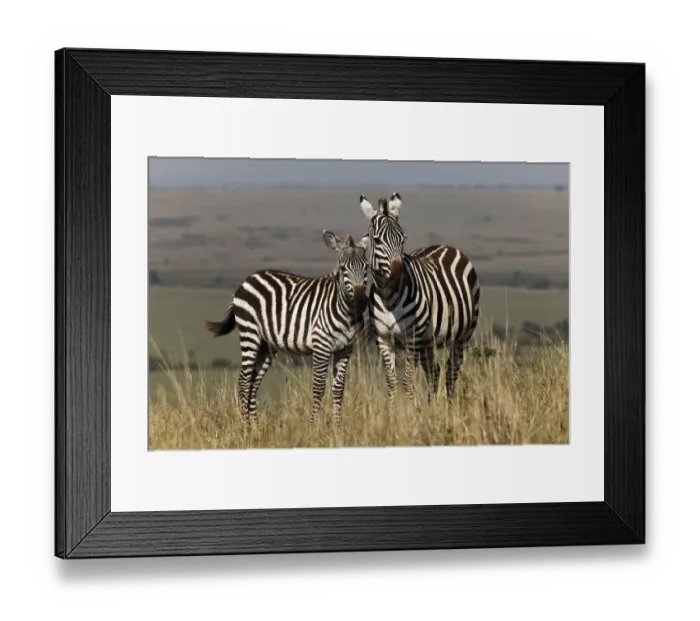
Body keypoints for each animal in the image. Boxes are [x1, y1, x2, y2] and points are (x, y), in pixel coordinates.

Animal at [204, 231, 369, 425]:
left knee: (254, 382)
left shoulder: (345, 348)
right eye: (343, 269)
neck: (345, 311)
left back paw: (255, 426)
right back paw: (245, 426)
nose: (360, 301)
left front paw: (337, 427)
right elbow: (319, 388)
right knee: (244, 380)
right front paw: (314, 426)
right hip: (249, 333)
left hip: (266, 345)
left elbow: (339, 389)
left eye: (366, 267)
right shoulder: (321, 345)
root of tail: (247, 279)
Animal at [359, 192, 481, 409]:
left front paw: (411, 413)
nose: (398, 274)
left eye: (402, 239)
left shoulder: (413, 337)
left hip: (462, 335)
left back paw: (449, 409)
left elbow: (408, 380)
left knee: (451, 372)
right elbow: (391, 380)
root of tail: (446, 246)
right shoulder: (383, 338)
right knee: (434, 372)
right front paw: (393, 413)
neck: (389, 296)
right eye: (377, 240)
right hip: (428, 341)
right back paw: (432, 409)